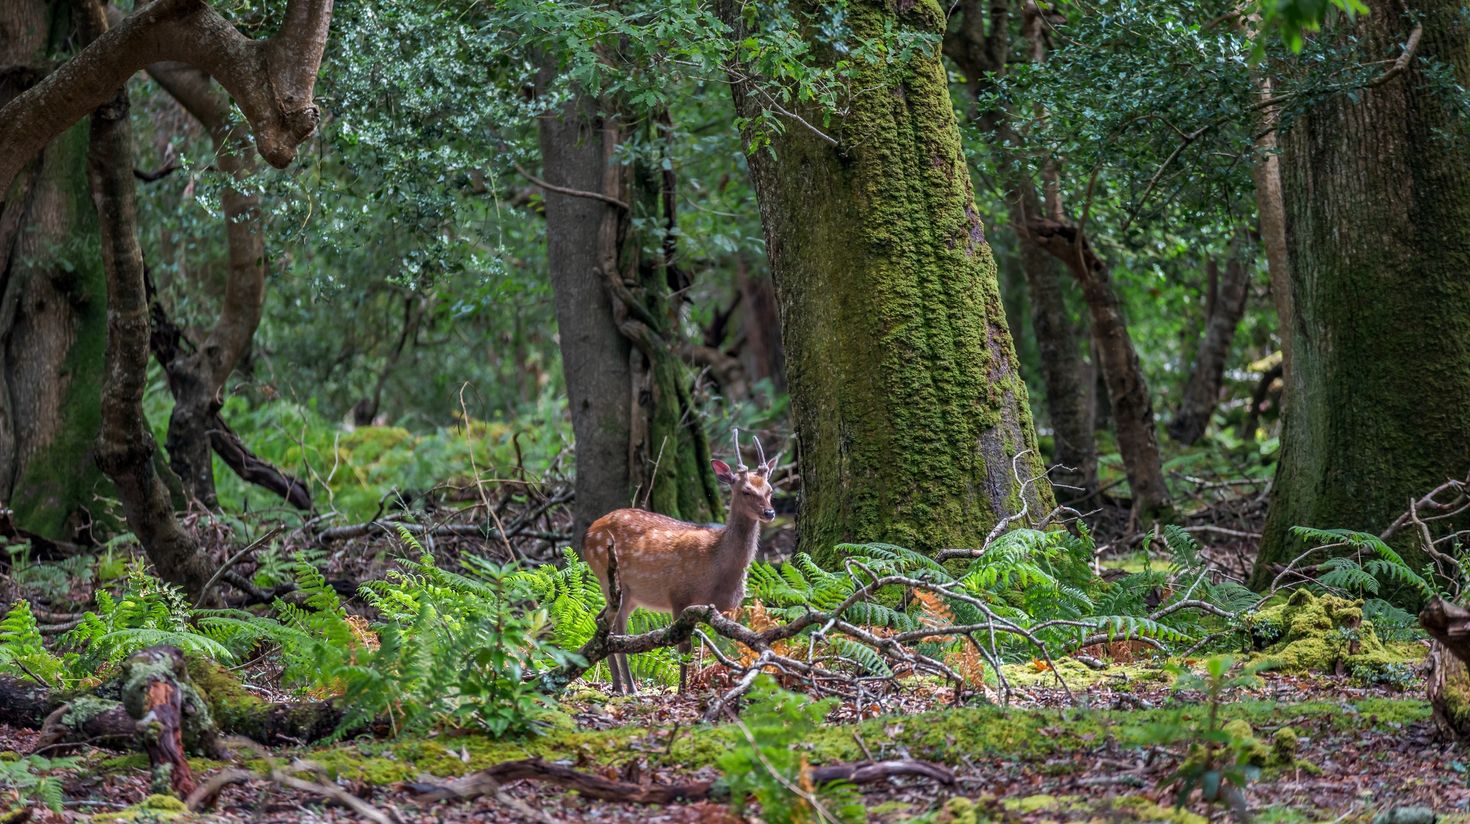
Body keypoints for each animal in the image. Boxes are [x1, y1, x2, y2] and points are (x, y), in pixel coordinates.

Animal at [581, 430, 780, 694]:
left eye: (770, 490)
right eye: (746, 491)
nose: (769, 512)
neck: (718, 565)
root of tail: (587, 534)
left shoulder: (727, 607)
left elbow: (725, 645)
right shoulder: (679, 594)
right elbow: (684, 647)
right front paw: (683, 691)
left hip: (631, 594)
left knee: (602, 620)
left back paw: (617, 685)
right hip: (609, 577)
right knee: (616, 629)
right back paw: (630, 688)